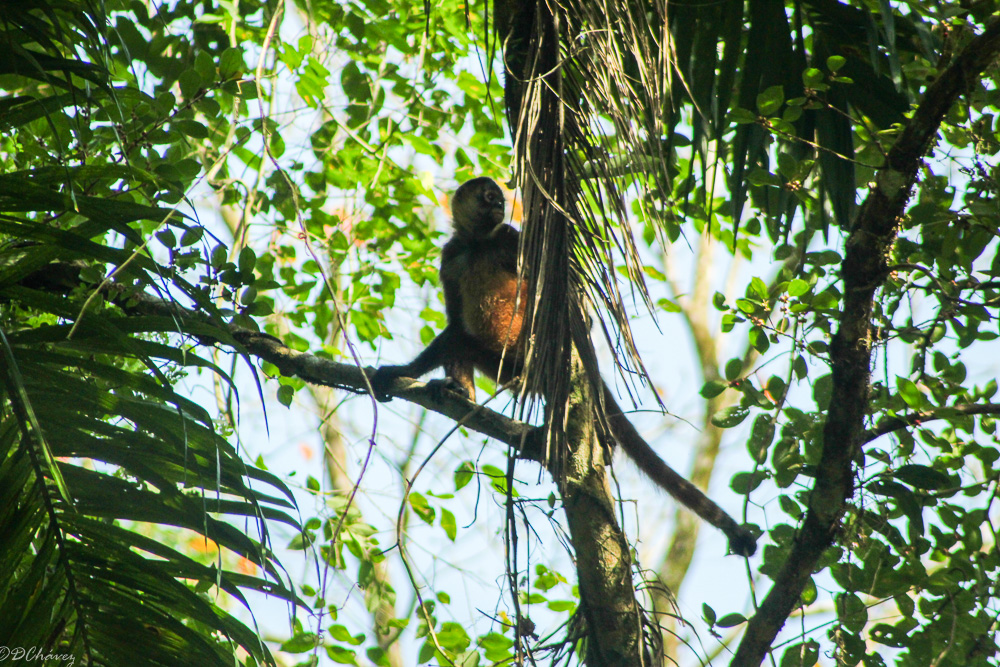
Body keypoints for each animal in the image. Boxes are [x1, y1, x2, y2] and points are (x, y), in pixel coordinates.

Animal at [371, 177, 756, 557]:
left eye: (498, 200)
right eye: (489, 198)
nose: (500, 206)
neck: (479, 244)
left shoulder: (510, 237)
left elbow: (565, 296)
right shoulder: (451, 255)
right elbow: (454, 317)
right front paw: (437, 380)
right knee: (460, 335)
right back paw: (461, 390)